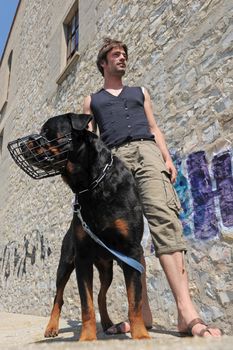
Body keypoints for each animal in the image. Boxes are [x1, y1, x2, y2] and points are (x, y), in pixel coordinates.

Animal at [21, 113, 149, 340]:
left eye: (46, 132)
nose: (24, 143)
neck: (93, 185)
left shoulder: (132, 252)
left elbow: (134, 299)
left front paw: (141, 335)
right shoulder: (82, 258)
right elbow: (85, 304)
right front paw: (87, 338)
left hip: (107, 268)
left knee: (101, 295)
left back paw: (107, 323)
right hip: (65, 264)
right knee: (59, 296)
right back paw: (51, 327)